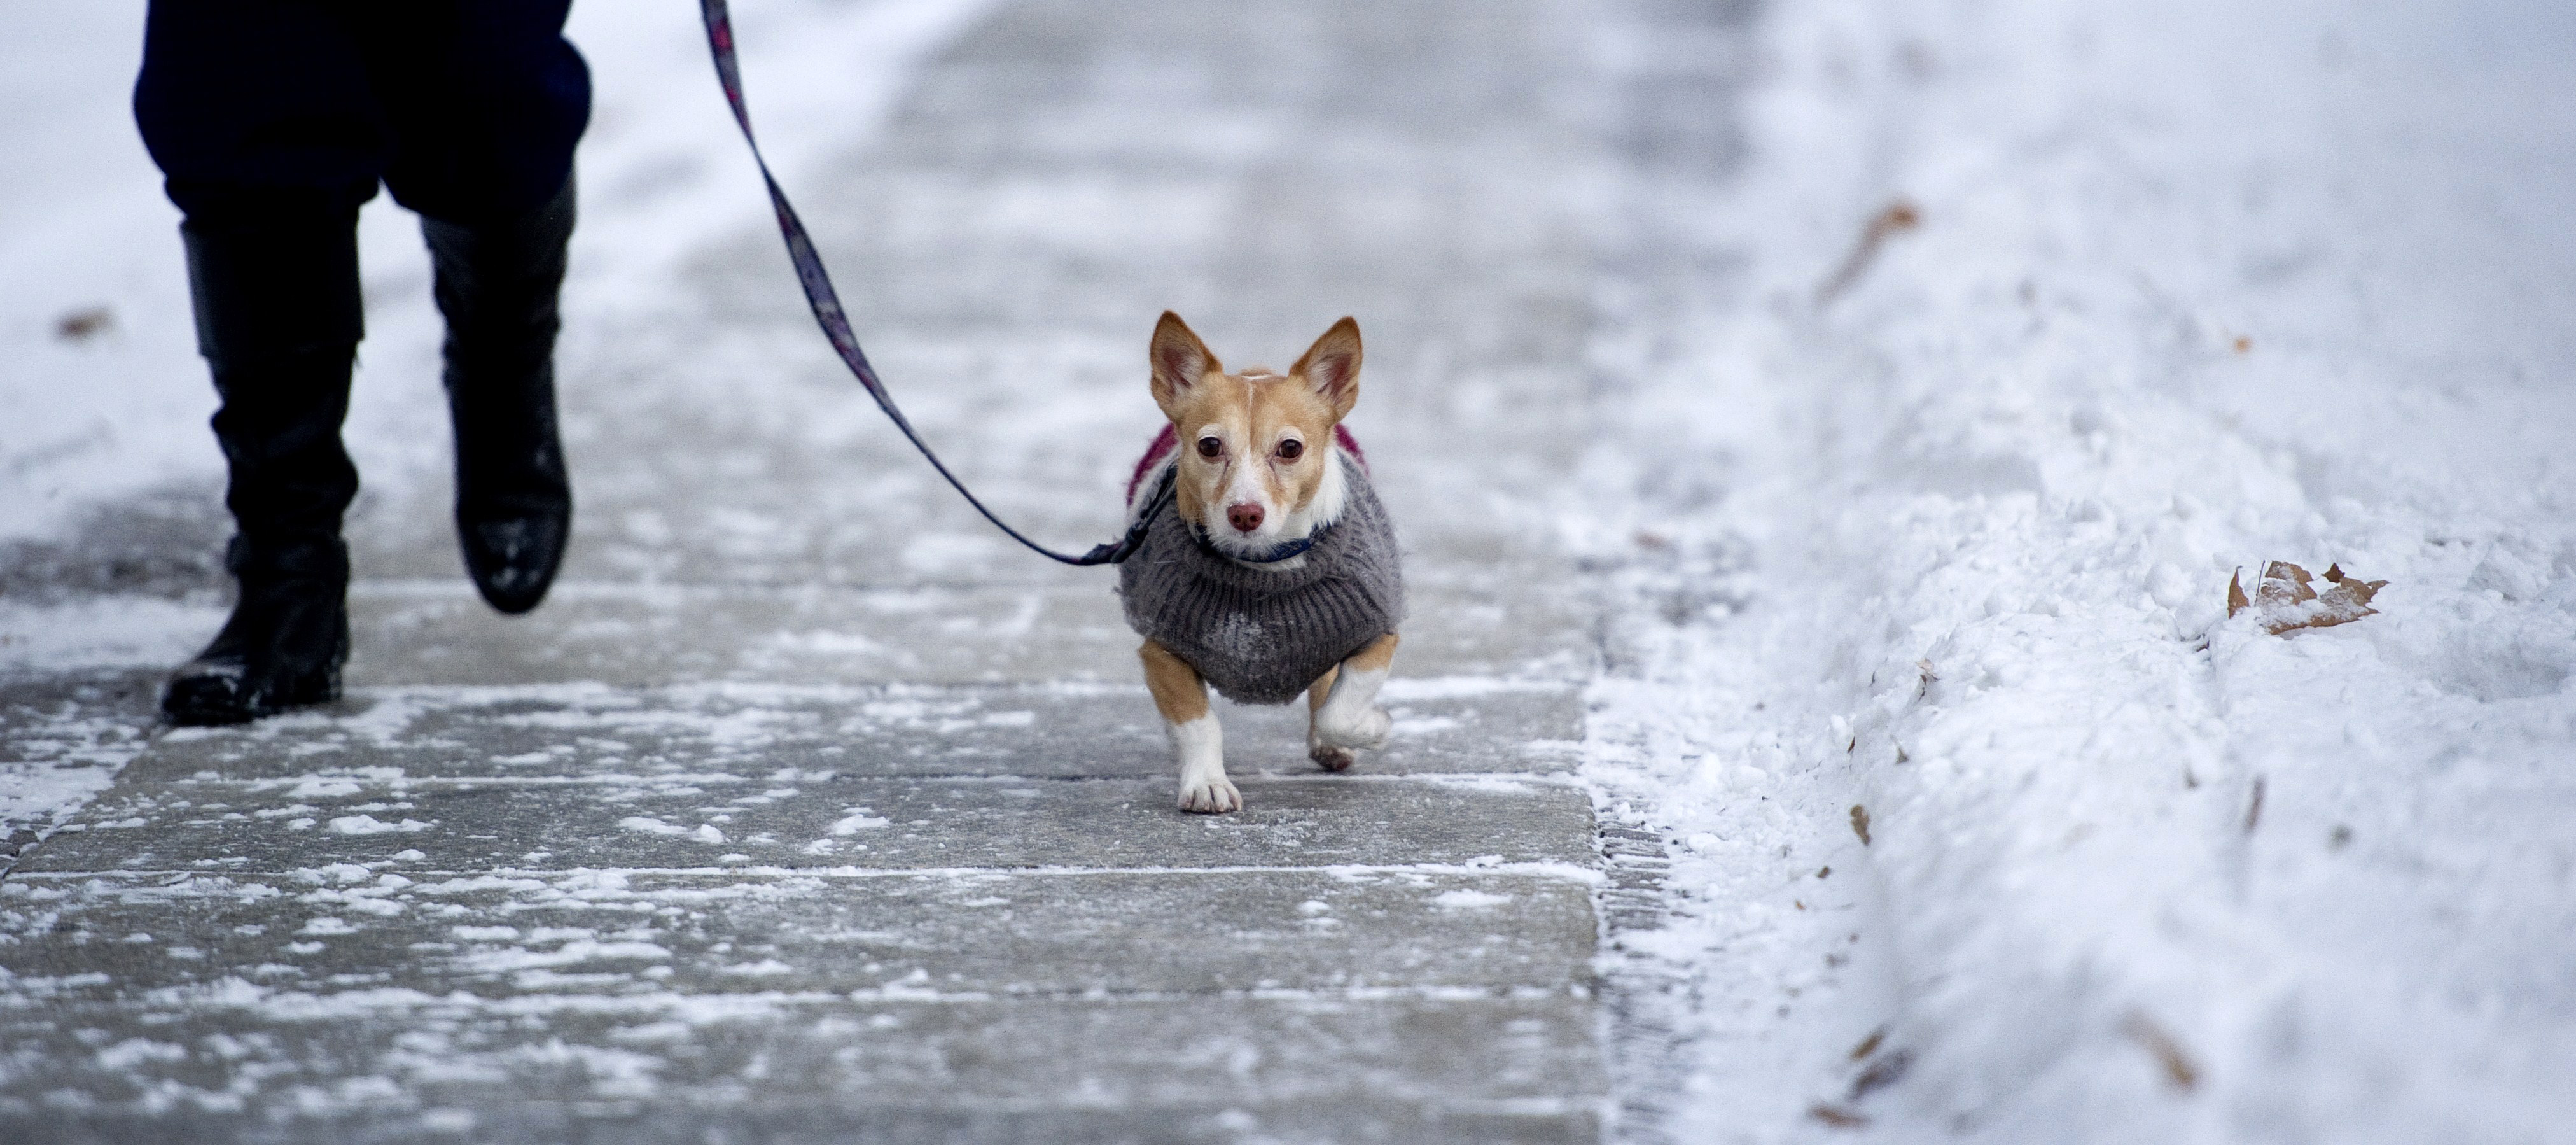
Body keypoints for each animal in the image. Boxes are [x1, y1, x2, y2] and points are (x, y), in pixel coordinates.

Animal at [1118, 313, 1411, 815]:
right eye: (1209, 446)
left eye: (1290, 448)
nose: (1244, 514)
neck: (1264, 569)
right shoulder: (1160, 651)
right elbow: (1198, 722)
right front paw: (1206, 782)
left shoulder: (1377, 636)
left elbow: (1339, 709)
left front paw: (1373, 728)